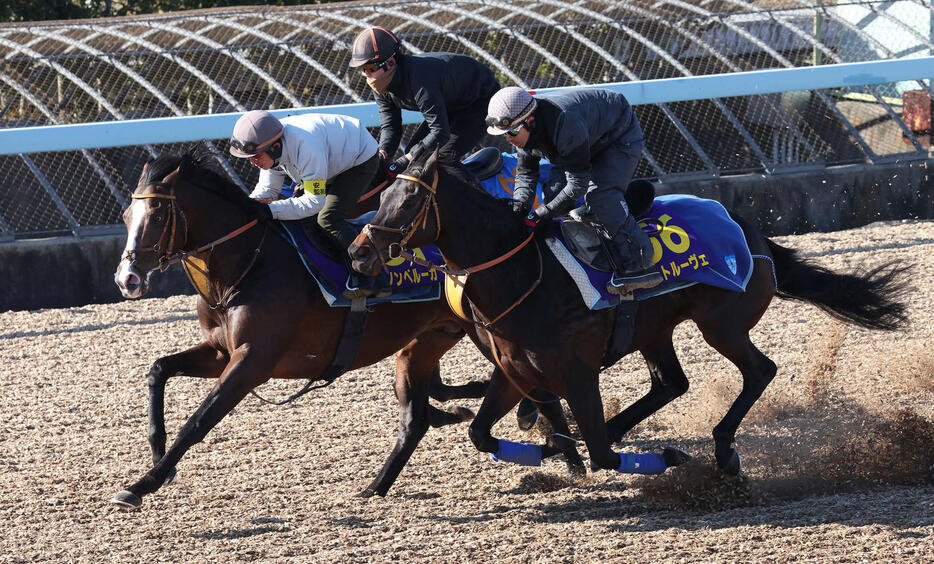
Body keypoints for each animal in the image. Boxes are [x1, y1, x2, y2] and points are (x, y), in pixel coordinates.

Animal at [111, 149, 584, 506]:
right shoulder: (220, 351)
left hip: (486, 331)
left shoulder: (252, 362)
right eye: (126, 214)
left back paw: (567, 452)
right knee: (419, 416)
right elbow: (158, 369)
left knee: (530, 382)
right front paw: (156, 450)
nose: (127, 278)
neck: (246, 266)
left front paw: (141, 485)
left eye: (156, 215)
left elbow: (199, 420)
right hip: (429, 338)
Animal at [348, 152, 912, 478]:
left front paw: (661, 456)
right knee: (671, 382)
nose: (358, 252)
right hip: (654, 328)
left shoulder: (577, 373)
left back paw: (723, 450)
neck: (524, 274)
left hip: (722, 323)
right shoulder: (513, 371)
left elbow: (599, 454)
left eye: (408, 202)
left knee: (759, 370)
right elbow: (481, 433)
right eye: (383, 196)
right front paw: (557, 447)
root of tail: (751, 232)